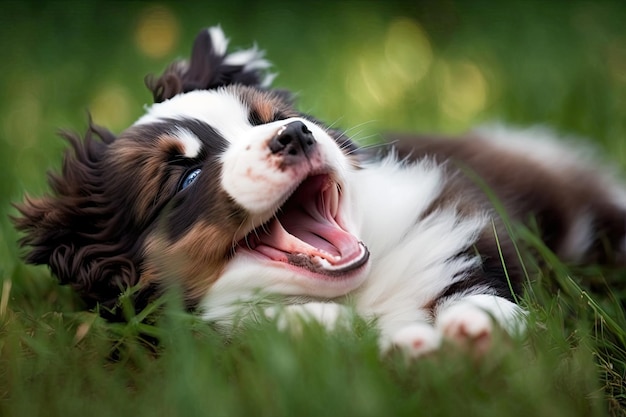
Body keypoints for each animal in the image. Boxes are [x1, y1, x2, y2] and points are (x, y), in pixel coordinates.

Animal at [14, 27, 624, 356]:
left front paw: (477, 326)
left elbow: (482, 280)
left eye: (267, 118)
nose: (294, 134)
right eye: (184, 177)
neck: (352, 290)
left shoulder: (465, 223)